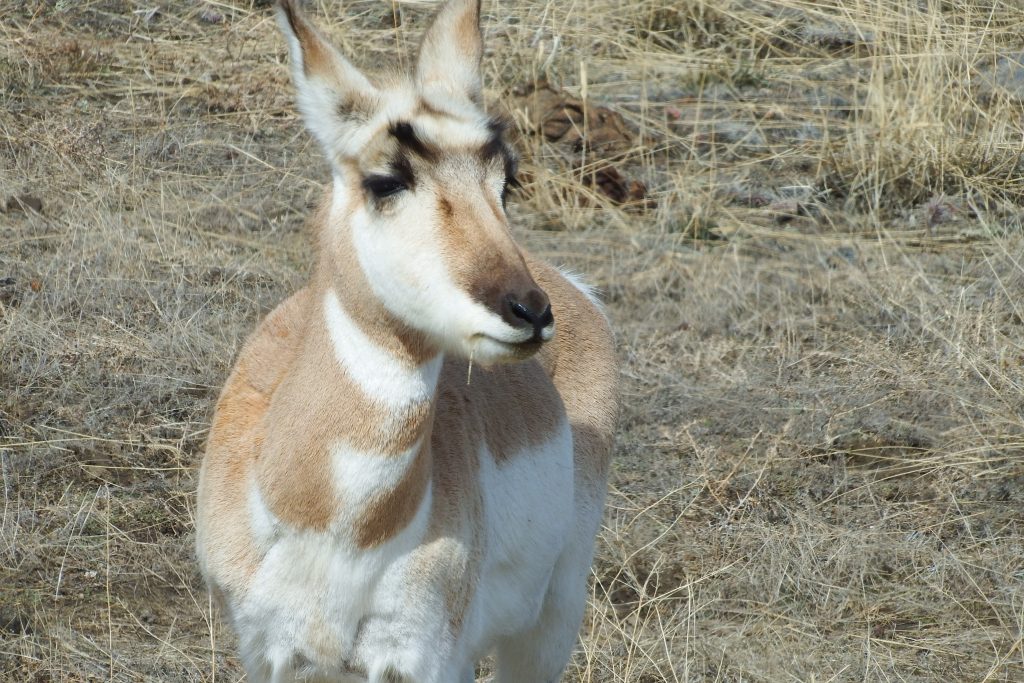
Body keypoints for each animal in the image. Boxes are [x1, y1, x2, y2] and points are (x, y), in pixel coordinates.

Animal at [195, 0, 618, 679]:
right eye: (385, 181)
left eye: (506, 178)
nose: (527, 311)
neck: (331, 526)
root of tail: (570, 285)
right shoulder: (271, 653)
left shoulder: (417, 655)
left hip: (550, 621)